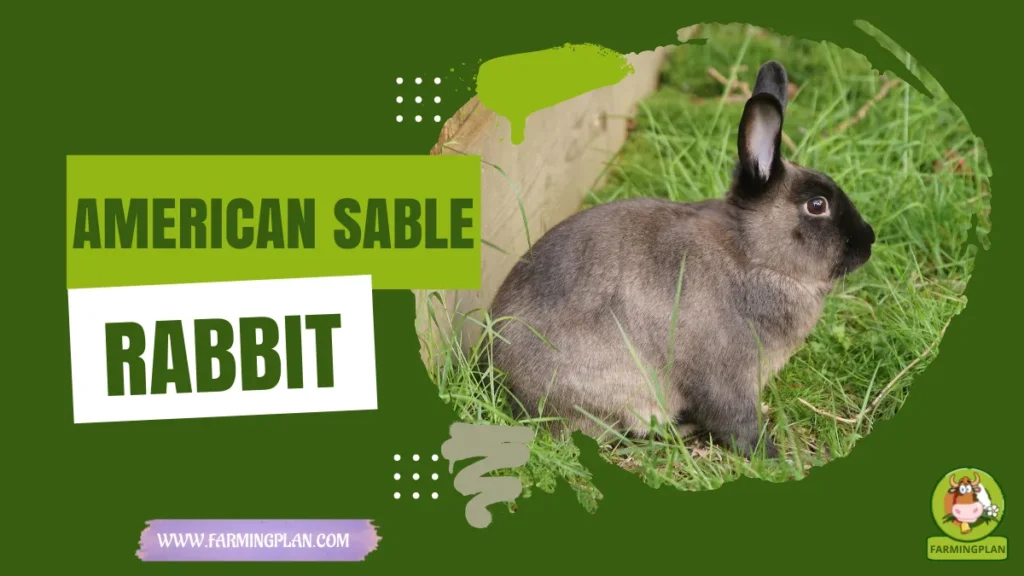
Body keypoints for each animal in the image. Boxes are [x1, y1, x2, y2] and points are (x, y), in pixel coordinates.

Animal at [486, 61, 875, 458]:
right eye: (817, 205)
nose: (869, 241)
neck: (754, 257)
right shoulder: (726, 376)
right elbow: (738, 422)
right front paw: (772, 455)